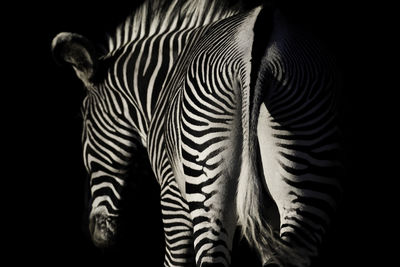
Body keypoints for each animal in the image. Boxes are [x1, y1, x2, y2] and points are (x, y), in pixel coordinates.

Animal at [51, 1, 342, 266]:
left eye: (84, 117)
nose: (95, 233)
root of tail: (259, 39)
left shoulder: (172, 192)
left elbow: (175, 260)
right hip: (305, 170)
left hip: (206, 184)